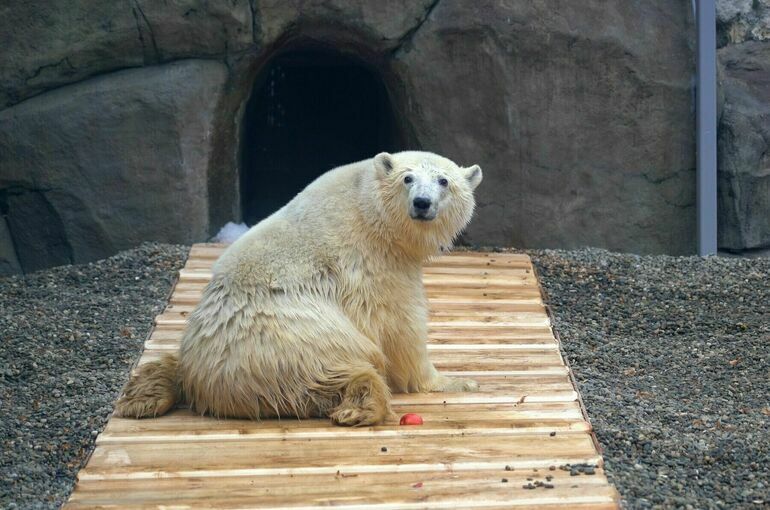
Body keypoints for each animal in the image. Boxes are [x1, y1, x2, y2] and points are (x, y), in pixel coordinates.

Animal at [115, 150, 480, 426]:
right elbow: (399, 327)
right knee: (329, 371)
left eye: (443, 181)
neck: (368, 208)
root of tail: (204, 381)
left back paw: (143, 395)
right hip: (291, 342)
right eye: (407, 178)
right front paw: (457, 381)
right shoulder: (372, 262)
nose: (422, 203)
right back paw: (360, 406)